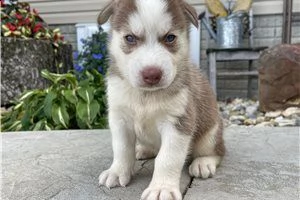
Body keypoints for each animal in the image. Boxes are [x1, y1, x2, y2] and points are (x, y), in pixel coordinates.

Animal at [97, 0, 224, 199]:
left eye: (170, 38)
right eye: (130, 38)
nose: (152, 74)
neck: (146, 96)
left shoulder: (178, 122)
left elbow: (167, 158)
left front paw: (161, 188)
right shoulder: (119, 119)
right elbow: (122, 148)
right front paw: (117, 172)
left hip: (211, 134)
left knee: (217, 151)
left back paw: (203, 162)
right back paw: (143, 149)